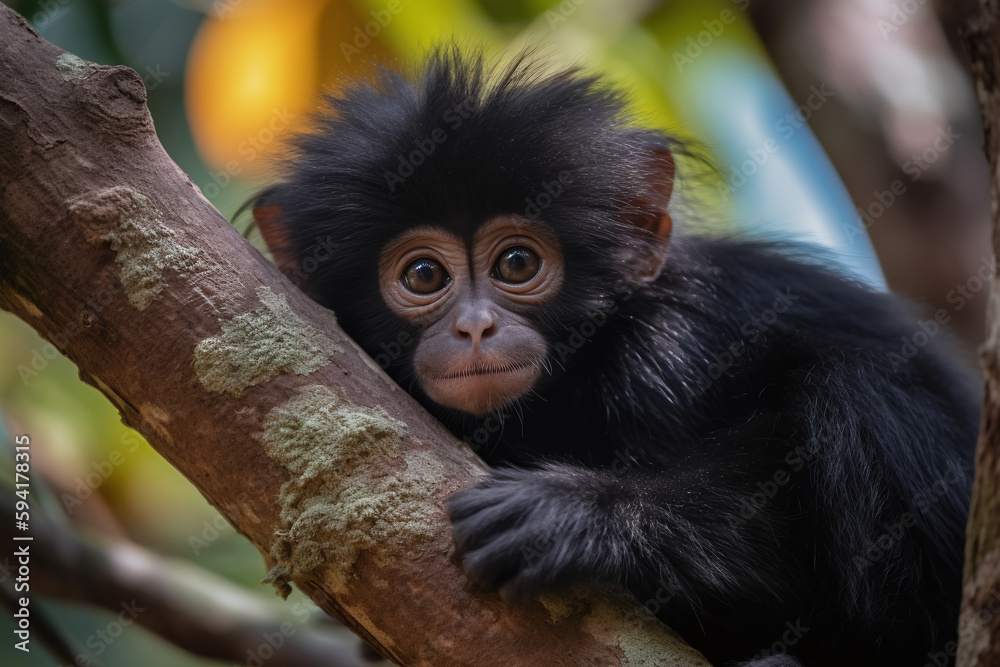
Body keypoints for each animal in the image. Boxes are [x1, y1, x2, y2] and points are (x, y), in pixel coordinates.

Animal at [251, 49, 981, 667]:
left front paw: (585, 515)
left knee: (856, 383)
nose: (475, 327)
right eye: (424, 275)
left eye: (517, 263)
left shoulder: (672, 347)